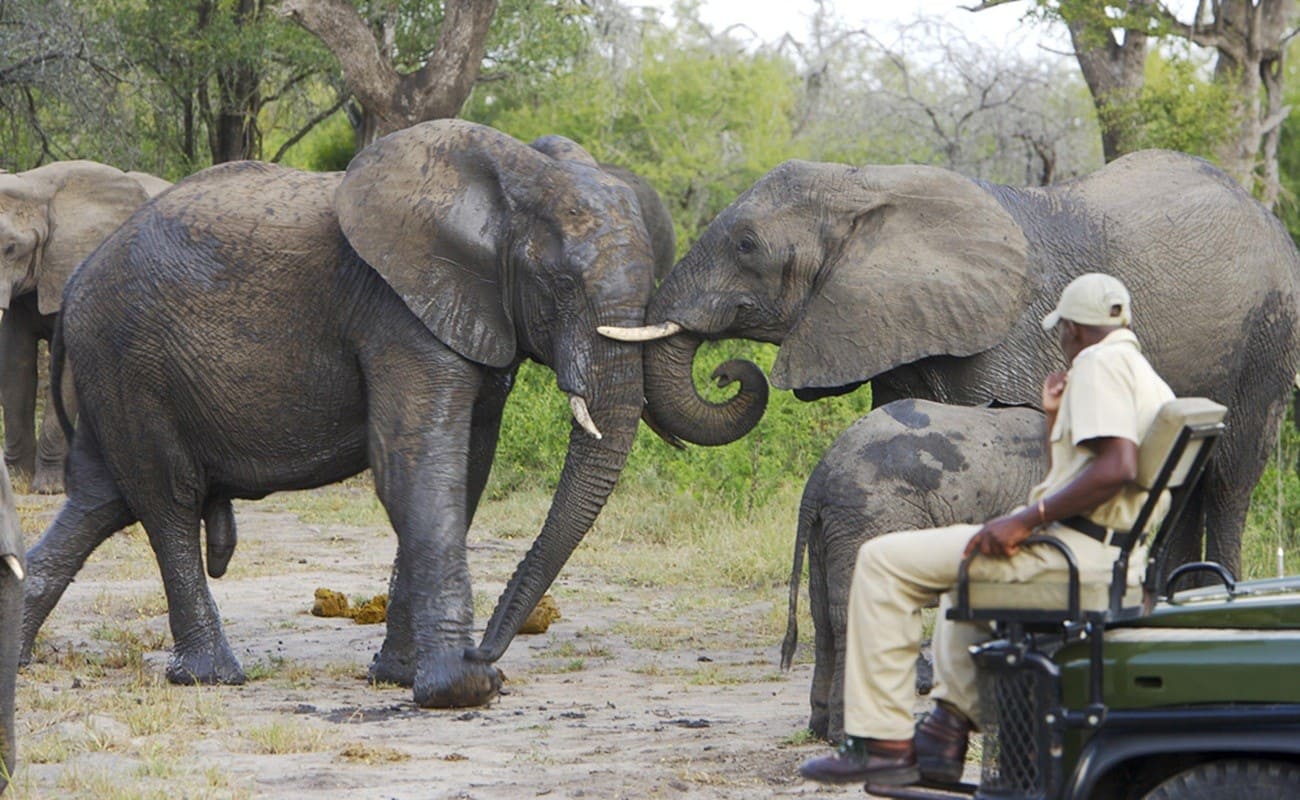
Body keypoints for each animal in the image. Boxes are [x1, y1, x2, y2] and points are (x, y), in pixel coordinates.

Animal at [20, 119, 656, 709]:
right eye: (561, 283)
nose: (488, 650)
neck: (515, 179)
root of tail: (75, 285)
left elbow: (467, 471)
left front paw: (398, 675)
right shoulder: (397, 315)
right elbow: (414, 467)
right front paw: (463, 687)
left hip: (116, 372)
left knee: (101, 500)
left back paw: (22, 657)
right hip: (130, 360)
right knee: (165, 498)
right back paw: (211, 676)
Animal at [605, 149, 1300, 579]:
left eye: (747, 246)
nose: (728, 372)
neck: (867, 184)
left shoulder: (1015, 333)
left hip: (1269, 335)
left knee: (1231, 475)